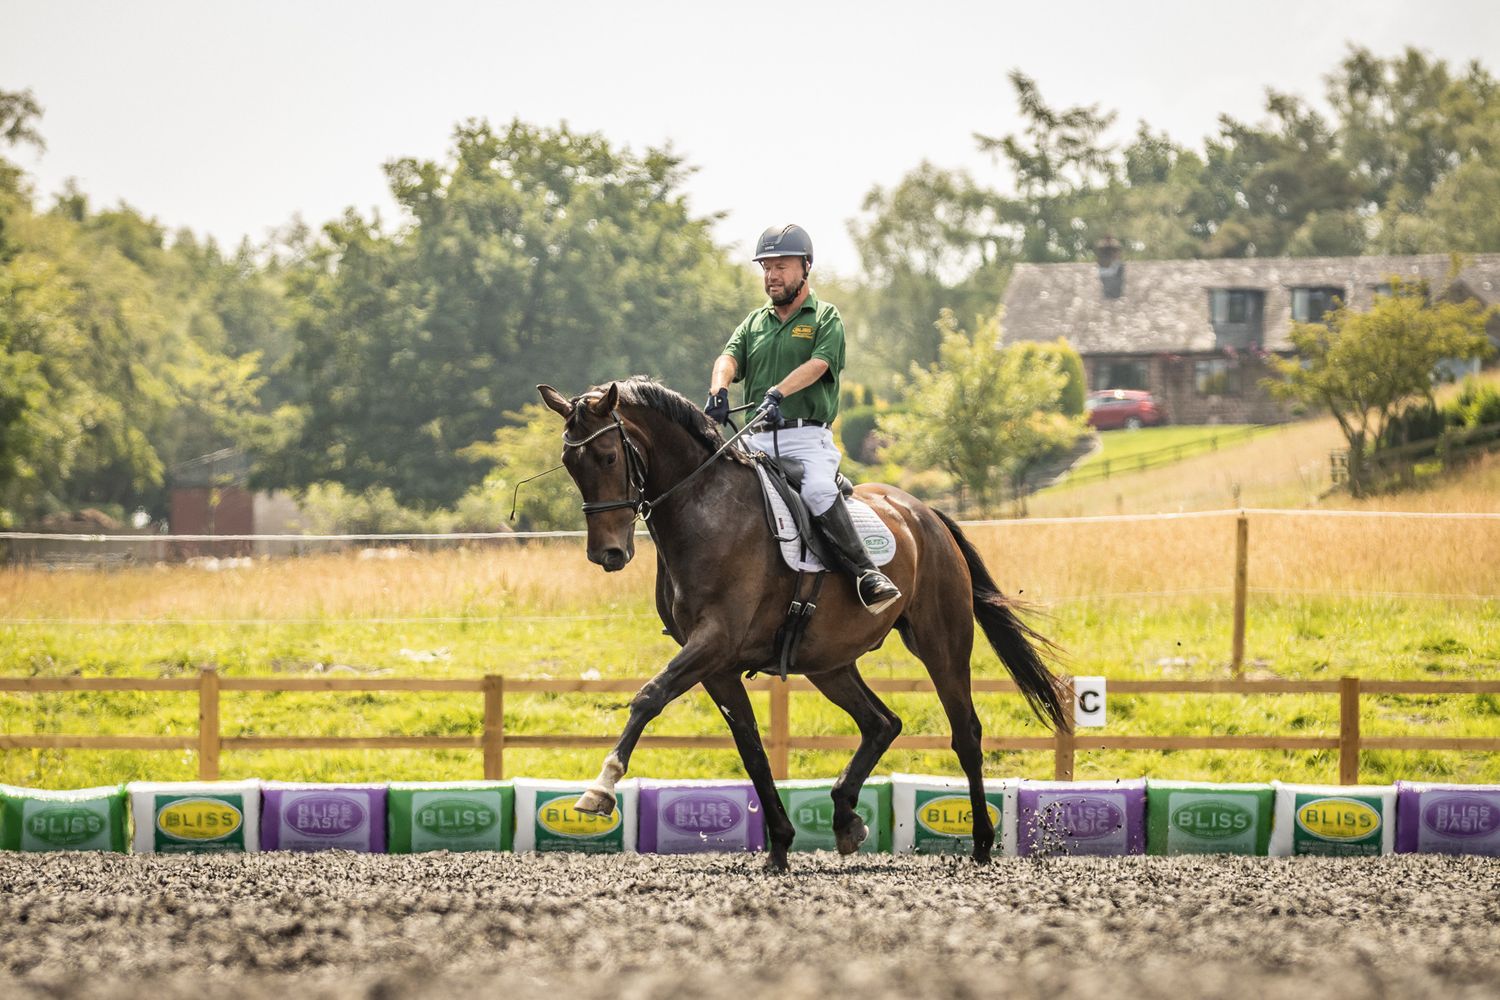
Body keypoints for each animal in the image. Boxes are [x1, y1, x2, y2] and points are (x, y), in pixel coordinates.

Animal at [537, 376, 1069, 871]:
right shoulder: (717, 665)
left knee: (966, 733)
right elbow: (751, 749)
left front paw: (601, 787)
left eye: (608, 457)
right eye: (570, 464)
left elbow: (649, 696)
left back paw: (980, 843)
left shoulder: (714, 642)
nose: (607, 554)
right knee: (881, 723)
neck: (704, 508)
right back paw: (846, 817)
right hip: (828, 663)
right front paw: (779, 846)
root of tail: (923, 513)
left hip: (941, 644)